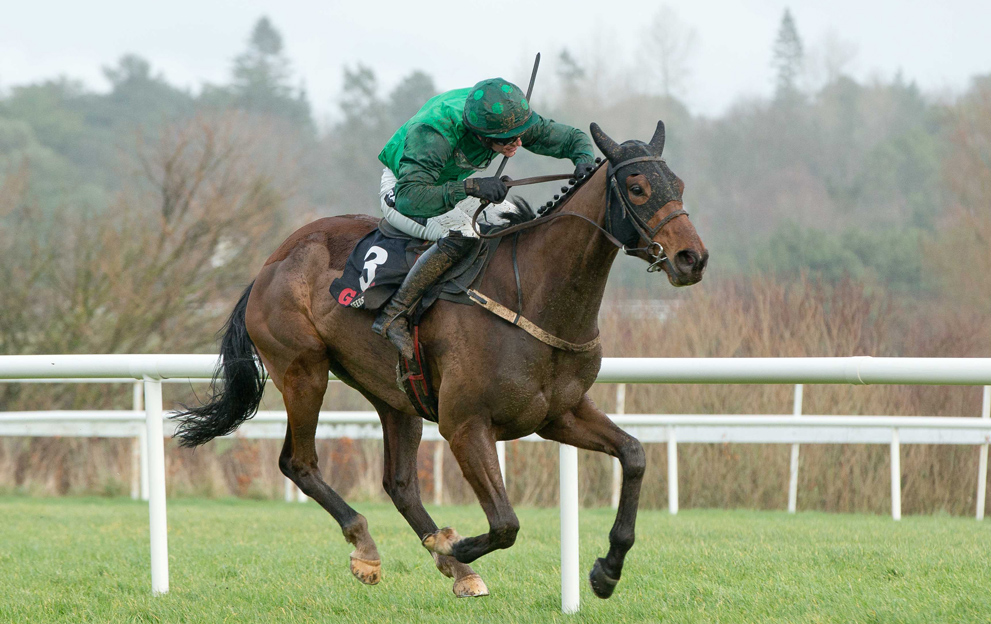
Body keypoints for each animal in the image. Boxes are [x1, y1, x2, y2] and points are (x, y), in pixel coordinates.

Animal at [173, 121, 708, 599]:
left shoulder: (559, 414)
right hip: (303, 372)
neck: (532, 295)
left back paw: (450, 565)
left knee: (400, 483)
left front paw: (607, 570)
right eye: (637, 187)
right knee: (298, 462)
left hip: (394, 394)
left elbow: (634, 455)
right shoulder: (466, 424)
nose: (692, 259)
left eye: (680, 184)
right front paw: (454, 546)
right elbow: (505, 523)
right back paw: (371, 548)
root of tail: (268, 266)